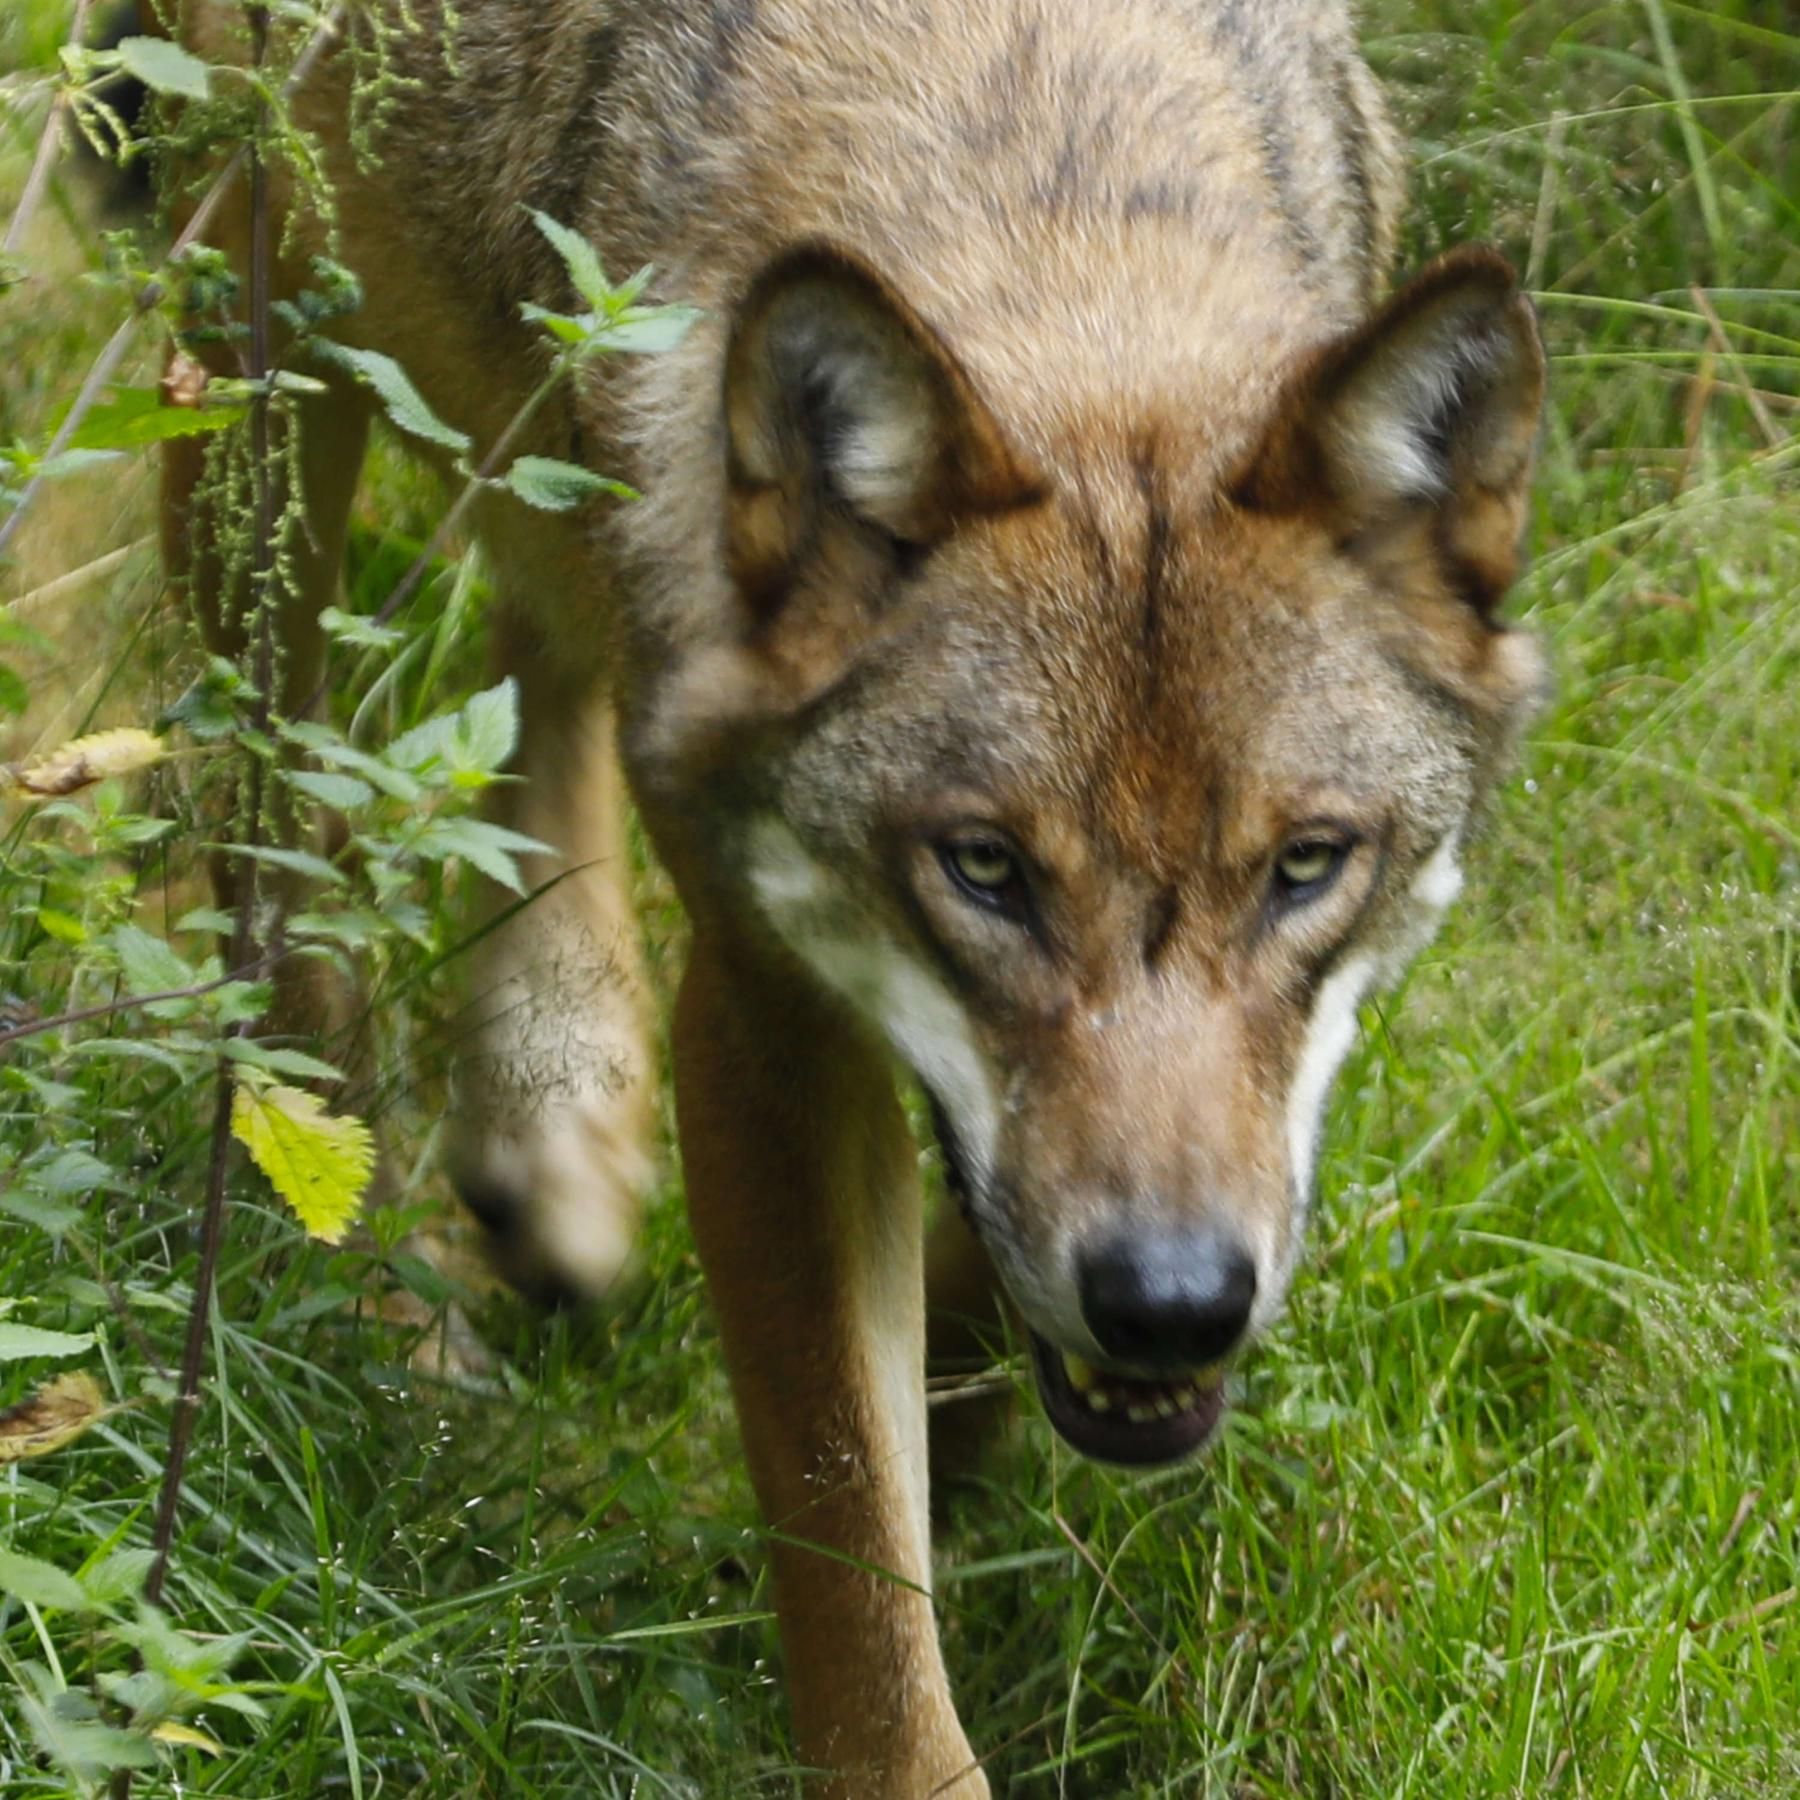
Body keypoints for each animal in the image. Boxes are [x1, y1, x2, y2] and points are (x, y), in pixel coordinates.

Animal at [159, 0, 1547, 1791]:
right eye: (985, 869)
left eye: (1304, 866)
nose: (1172, 1307)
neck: (1038, 145)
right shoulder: (768, 1029)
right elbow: (850, 1553)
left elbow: (976, 1277)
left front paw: (970, 1417)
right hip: (259, 364)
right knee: (286, 864)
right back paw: (391, 1324)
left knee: (543, 629)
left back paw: (555, 1115)